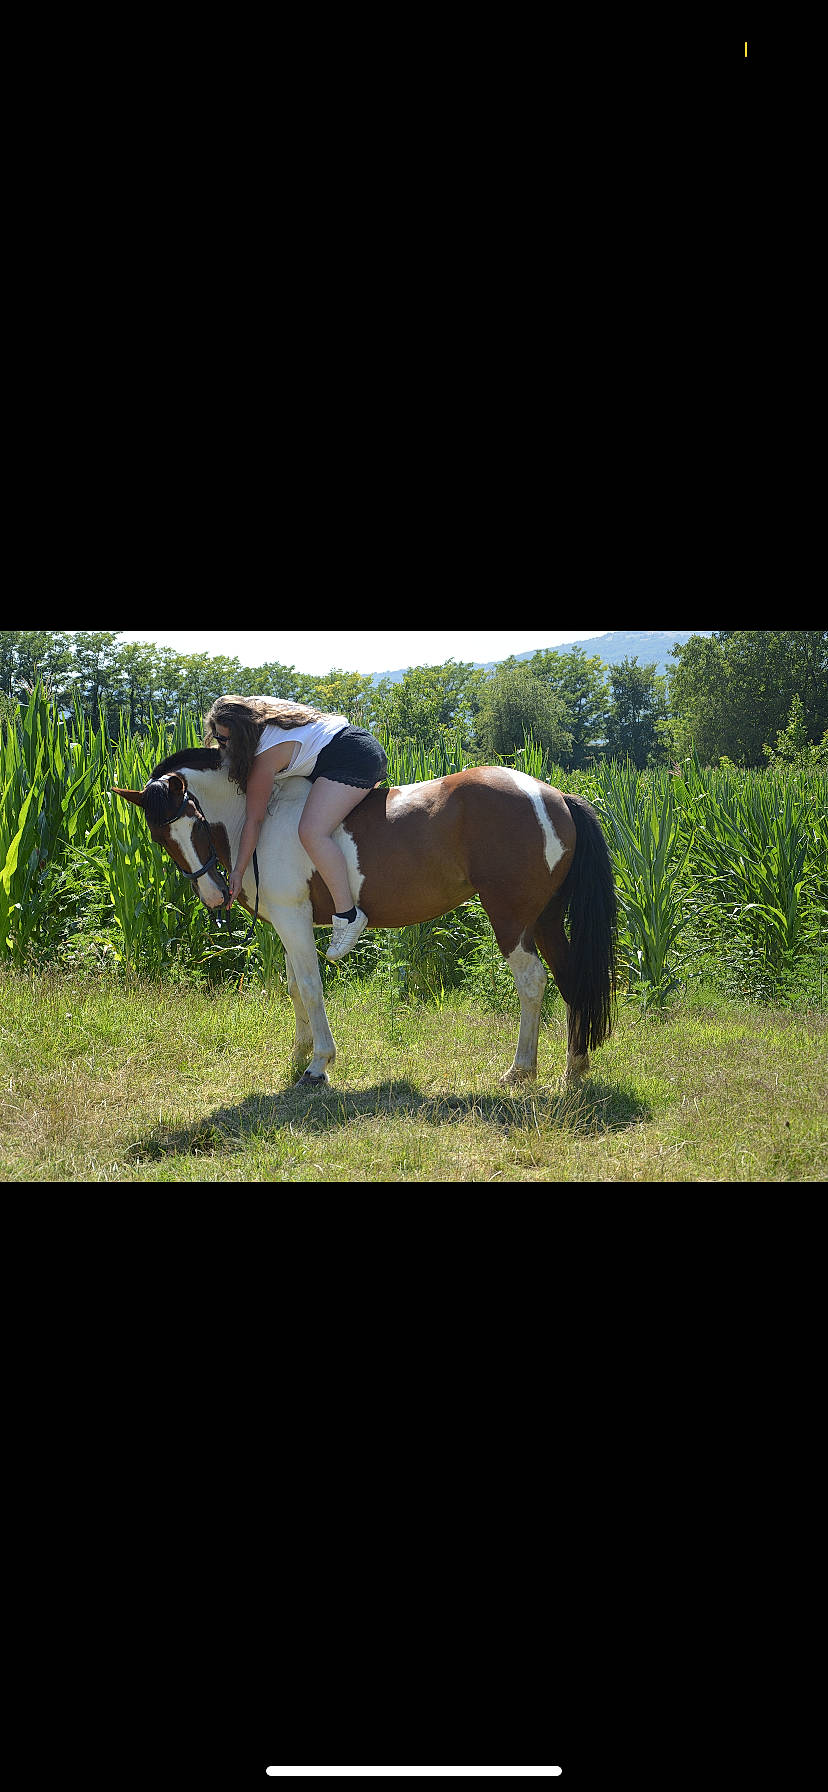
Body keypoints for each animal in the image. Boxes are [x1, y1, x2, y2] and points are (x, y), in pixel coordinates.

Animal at [113, 750, 618, 1087]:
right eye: (160, 837)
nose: (214, 896)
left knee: (532, 981)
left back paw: (520, 1070)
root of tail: (553, 795)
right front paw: (298, 1054)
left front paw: (318, 1064)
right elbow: (294, 987)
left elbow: (311, 987)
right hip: (545, 920)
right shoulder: (287, 922)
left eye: (196, 822)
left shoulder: (294, 918)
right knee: (570, 979)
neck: (261, 817)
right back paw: (574, 1068)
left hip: (511, 919)